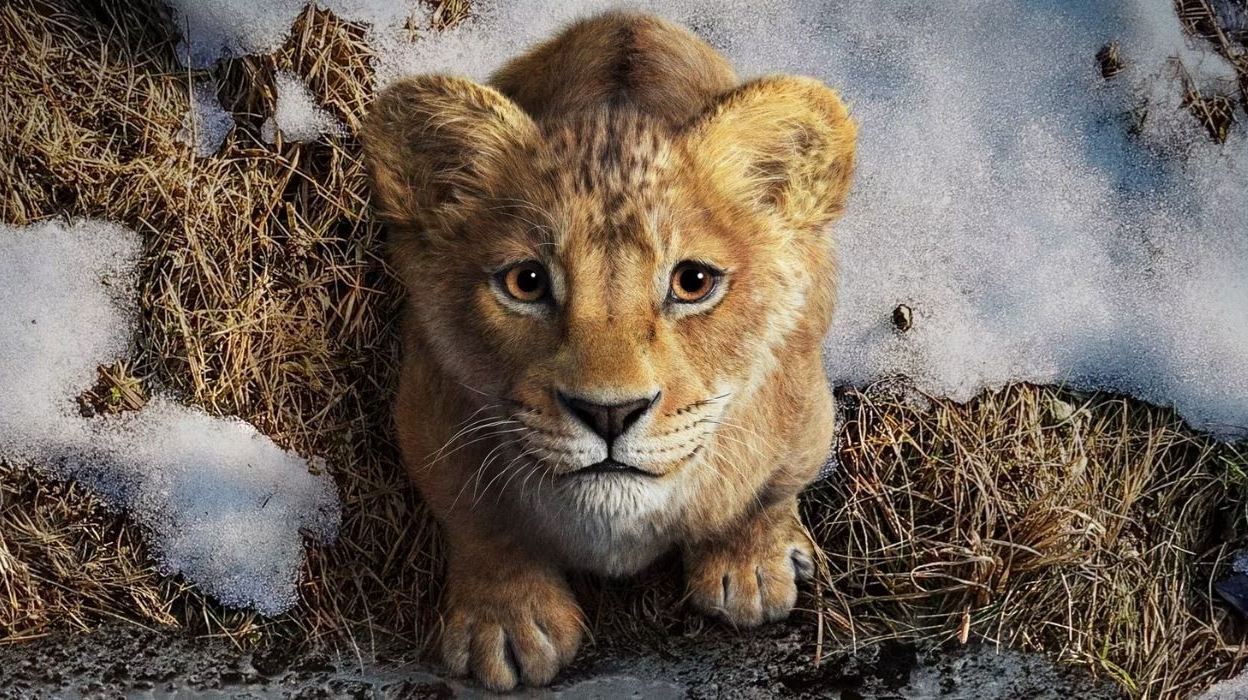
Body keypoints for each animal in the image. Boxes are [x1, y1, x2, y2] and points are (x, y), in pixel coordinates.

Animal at [361, 11, 856, 691]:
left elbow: (765, 493)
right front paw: (505, 622)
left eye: (693, 282)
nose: (609, 413)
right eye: (526, 282)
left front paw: (751, 568)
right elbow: (479, 520)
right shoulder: (427, 408)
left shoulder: (804, 408)